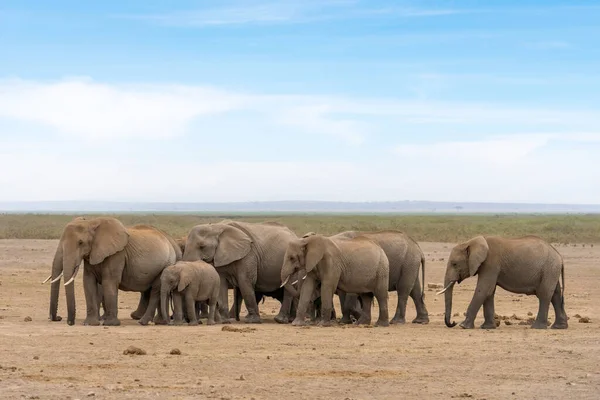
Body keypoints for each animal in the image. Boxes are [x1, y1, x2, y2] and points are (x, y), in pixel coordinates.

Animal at [45, 217, 180, 326]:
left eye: (80, 242)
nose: (60, 319)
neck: (91, 222)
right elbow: (88, 282)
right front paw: (90, 324)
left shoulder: (117, 254)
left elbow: (109, 282)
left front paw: (110, 324)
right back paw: (157, 321)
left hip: (166, 264)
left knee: (156, 290)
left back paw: (146, 321)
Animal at [436, 236, 568, 330]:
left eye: (454, 264)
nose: (453, 322)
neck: (472, 242)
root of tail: (559, 256)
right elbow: (489, 292)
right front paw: (487, 327)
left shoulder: (491, 264)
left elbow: (484, 289)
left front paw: (463, 326)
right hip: (551, 270)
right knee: (555, 294)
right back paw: (559, 327)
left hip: (549, 268)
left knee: (544, 294)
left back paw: (537, 327)